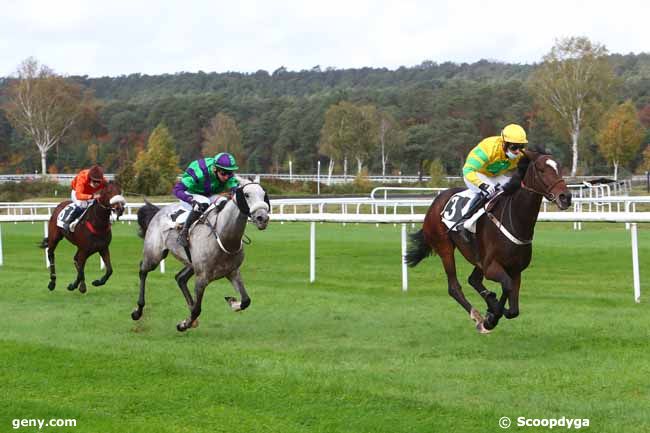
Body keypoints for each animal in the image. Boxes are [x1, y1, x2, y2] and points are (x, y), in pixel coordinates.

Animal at [133, 178, 270, 330]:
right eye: (246, 195)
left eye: (264, 194)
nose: (262, 218)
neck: (222, 237)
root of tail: (159, 210)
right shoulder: (201, 278)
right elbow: (197, 310)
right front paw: (184, 324)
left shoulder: (233, 271)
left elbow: (246, 300)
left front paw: (233, 302)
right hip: (154, 255)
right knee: (143, 270)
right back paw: (138, 310)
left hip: (190, 263)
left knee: (180, 278)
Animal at [402, 150, 568, 332]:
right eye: (541, 170)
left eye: (559, 168)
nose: (566, 197)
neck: (515, 219)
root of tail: (435, 202)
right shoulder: (491, 267)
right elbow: (507, 287)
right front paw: (491, 317)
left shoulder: (515, 269)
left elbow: (513, 308)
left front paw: (493, 309)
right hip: (445, 247)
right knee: (454, 287)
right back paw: (477, 316)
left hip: (479, 259)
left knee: (473, 280)